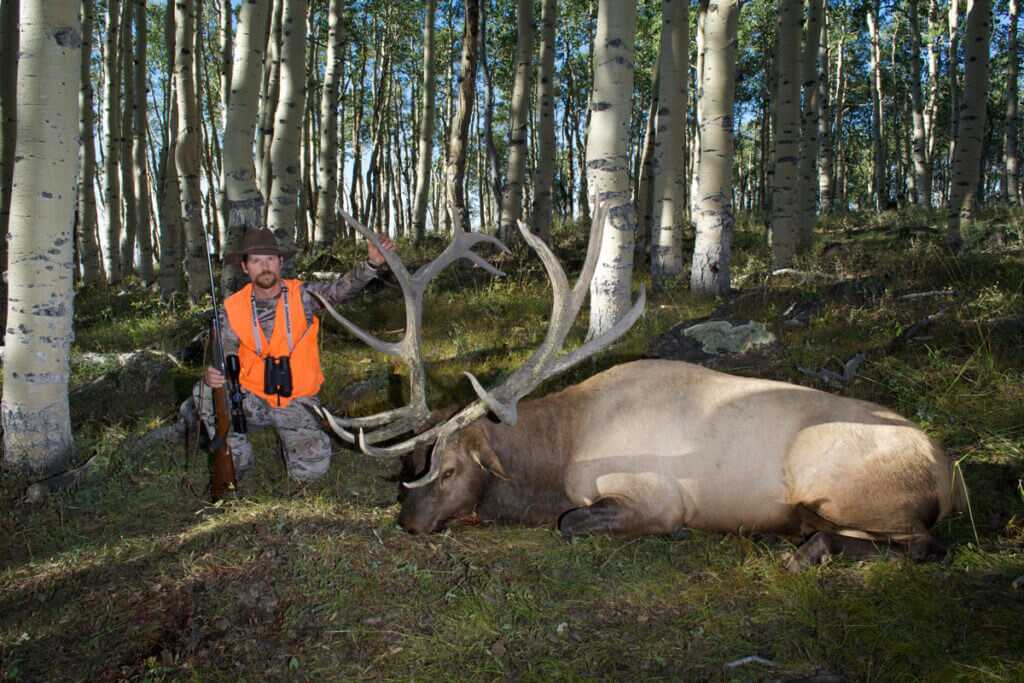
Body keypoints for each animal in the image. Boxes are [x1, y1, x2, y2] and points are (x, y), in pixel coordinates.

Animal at [311, 205, 965, 570]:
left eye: (447, 470)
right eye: (409, 466)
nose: (408, 523)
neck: (557, 457)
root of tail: (948, 474)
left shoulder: (653, 497)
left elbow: (572, 523)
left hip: (841, 483)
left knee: (926, 545)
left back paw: (808, 549)